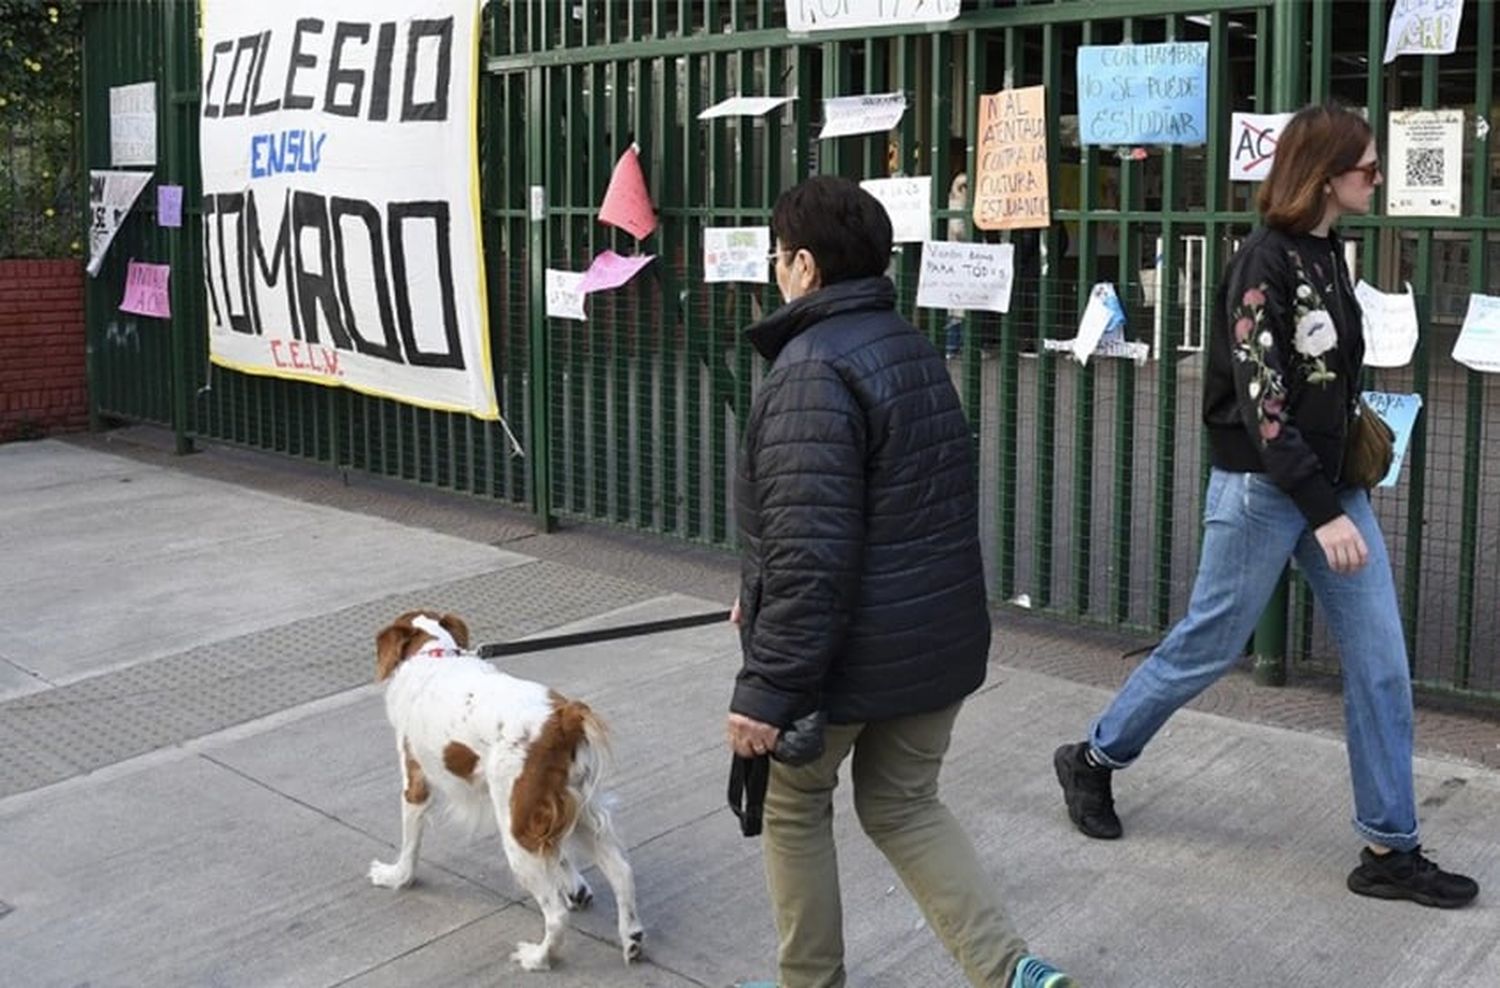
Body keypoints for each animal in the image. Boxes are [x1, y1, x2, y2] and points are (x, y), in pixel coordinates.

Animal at [370, 614, 645, 971]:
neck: (435, 653)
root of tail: (564, 718)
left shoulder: (416, 783)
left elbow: (409, 846)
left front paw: (396, 877)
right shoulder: (546, 814)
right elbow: (561, 856)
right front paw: (575, 886)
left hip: (516, 832)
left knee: (556, 915)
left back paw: (538, 957)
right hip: (571, 809)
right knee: (621, 872)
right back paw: (631, 937)